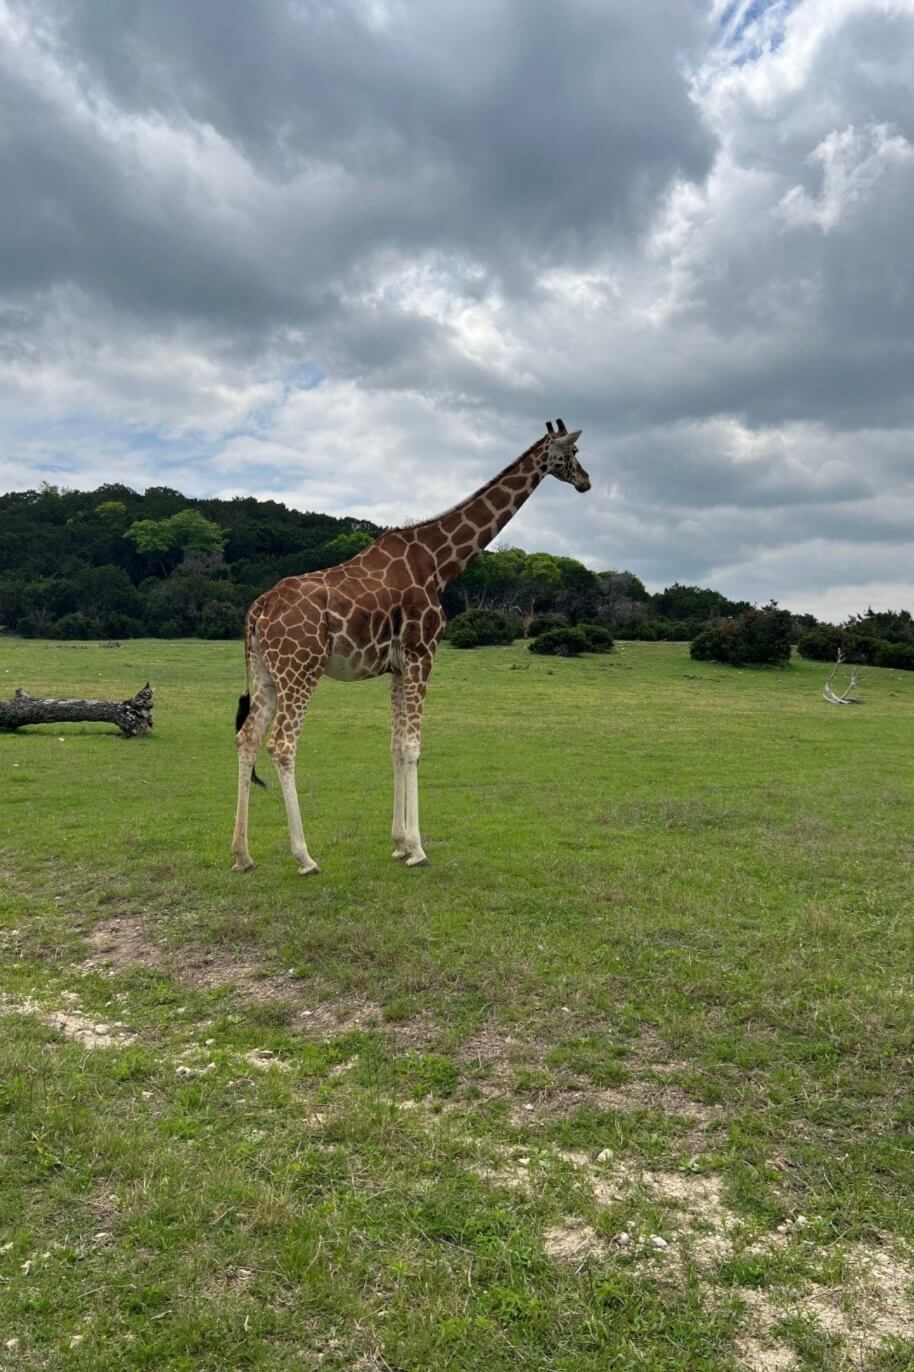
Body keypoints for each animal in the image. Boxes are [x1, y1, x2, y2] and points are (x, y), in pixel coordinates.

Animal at [231, 419, 591, 874]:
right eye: (573, 453)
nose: (586, 482)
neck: (441, 561)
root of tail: (257, 610)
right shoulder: (424, 652)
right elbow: (414, 747)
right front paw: (417, 849)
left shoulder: (399, 666)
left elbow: (396, 747)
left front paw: (400, 843)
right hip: (300, 669)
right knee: (281, 745)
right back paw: (304, 856)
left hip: (265, 673)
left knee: (247, 738)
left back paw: (242, 854)